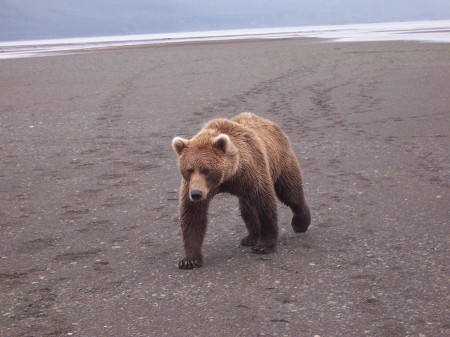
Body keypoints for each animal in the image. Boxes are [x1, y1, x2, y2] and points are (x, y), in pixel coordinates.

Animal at [171, 112, 310, 268]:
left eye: (206, 170)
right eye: (189, 170)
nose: (196, 194)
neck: (228, 177)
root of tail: (269, 122)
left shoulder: (252, 172)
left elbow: (264, 204)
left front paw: (264, 246)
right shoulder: (192, 186)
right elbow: (193, 215)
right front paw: (189, 260)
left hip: (281, 160)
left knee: (290, 192)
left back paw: (301, 222)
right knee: (247, 208)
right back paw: (251, 237)